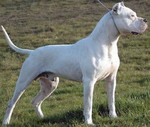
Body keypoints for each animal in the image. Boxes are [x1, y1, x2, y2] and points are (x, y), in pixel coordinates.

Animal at [1, 1, 148, 125]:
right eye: (131, 16)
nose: (145, 20)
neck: (106, 44)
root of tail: (32, 52)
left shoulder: (111, 79)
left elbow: (111, 100)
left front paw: (113, 117)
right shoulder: (89, 82)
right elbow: (88, 104)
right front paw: (89, 122)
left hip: (50, 85)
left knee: (35, 102)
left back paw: (43, 119)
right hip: (23, 82)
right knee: (11, 103)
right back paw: (6, 122)